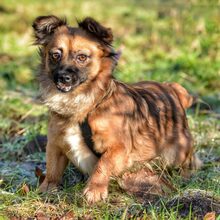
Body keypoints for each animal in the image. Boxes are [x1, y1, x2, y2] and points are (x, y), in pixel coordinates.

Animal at [32, 15, 201, 204]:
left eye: (82, 57)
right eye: (55, 55)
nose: (63, 77)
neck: (85, 105)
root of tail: (170, 88)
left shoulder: (119, 147)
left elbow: (103, 164)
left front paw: (94, 190)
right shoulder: (55, 143)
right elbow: (52, 169)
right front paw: (46, 189)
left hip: (177, 153)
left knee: (189, 163)